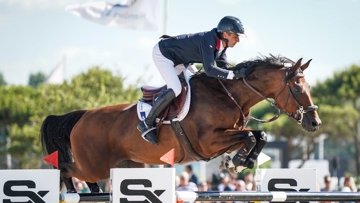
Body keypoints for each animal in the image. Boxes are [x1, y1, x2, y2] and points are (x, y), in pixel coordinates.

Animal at [39, 54, 320, 193]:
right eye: (297, 88)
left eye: (308, 87)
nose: (314, 122)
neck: (228, 95)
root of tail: (83, 115)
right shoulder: (208, 142)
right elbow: (251, 136)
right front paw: (239, 161)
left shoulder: (227, 135)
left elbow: (259, 136)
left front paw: (237, 161)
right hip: (93, 165)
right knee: (66, 169)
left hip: (126, 164)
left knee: (85, 178)